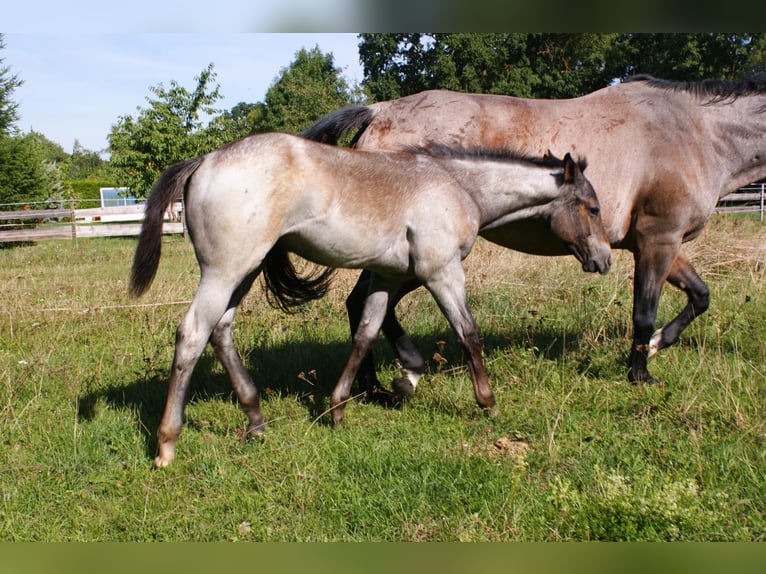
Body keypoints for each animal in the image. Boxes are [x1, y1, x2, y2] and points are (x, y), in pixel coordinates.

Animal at [129, 132, 611, 467]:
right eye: (593, 208)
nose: (604, 259)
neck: (457, 184)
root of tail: (204, 160)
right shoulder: (442, 272)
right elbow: (467, 333)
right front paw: (487, 403)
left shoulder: (386, 276)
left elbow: (365, 334)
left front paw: (343, 407)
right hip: (225, 271)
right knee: (192, 334)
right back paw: (167, 445)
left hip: (245, 271)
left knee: (221, 331)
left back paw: (255, 421)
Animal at [302, 73, 766, 391]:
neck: (695, 132)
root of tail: (379, 111)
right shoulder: (659, 238)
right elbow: (644, 312)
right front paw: (641, 373)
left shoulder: (655, 244)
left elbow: (700, 296)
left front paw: (656, 345)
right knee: (364, 303)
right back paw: (382, 383)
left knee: (363, 305)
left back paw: (373, 385)